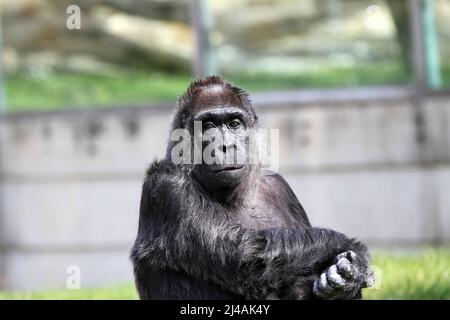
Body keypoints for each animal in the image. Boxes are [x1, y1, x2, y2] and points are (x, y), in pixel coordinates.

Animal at [129, 75, 372, 300]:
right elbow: (246, 255)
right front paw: (348, 246)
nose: (227, 146)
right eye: (208, 126)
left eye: (234, 124)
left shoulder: (281, 187)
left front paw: (347, 280)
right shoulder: (166, 187)